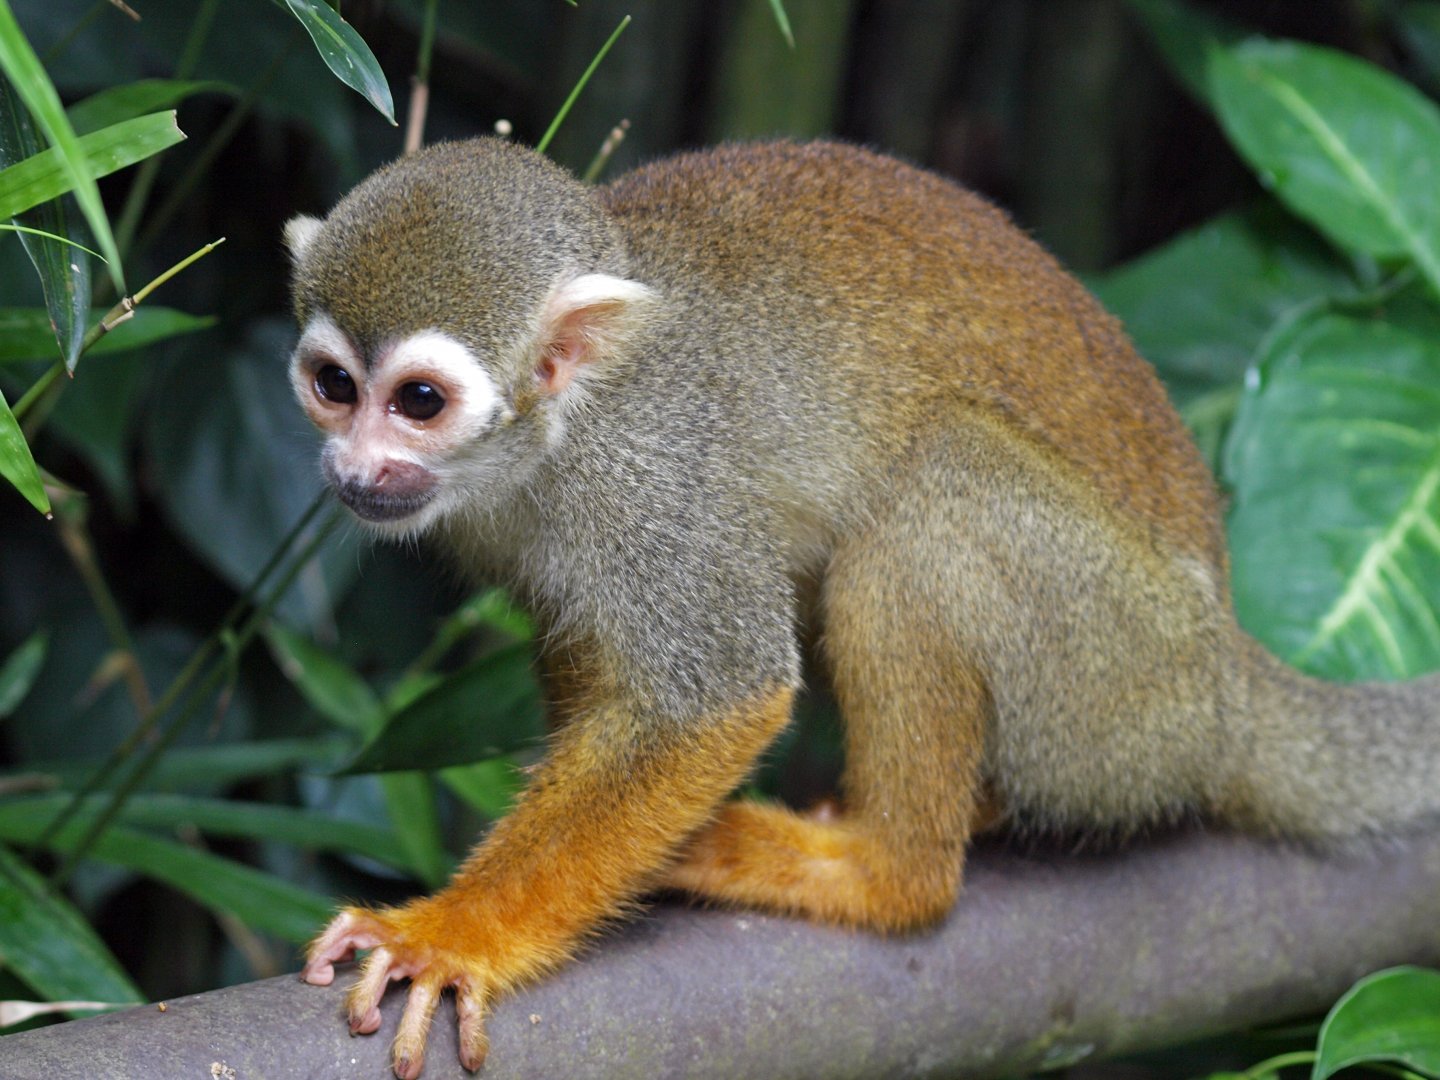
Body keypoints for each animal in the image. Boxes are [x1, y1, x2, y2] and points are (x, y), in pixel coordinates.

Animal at [283, 138, 1440, 1078]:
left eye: (419, 402)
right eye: (335, 386)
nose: (355, 469)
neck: (555, 437)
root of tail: (1233, 680)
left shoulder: (654, 478)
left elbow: (719, 694)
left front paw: (453, 934)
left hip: (1125, 681)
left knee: (928, 499)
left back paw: (890, 871)